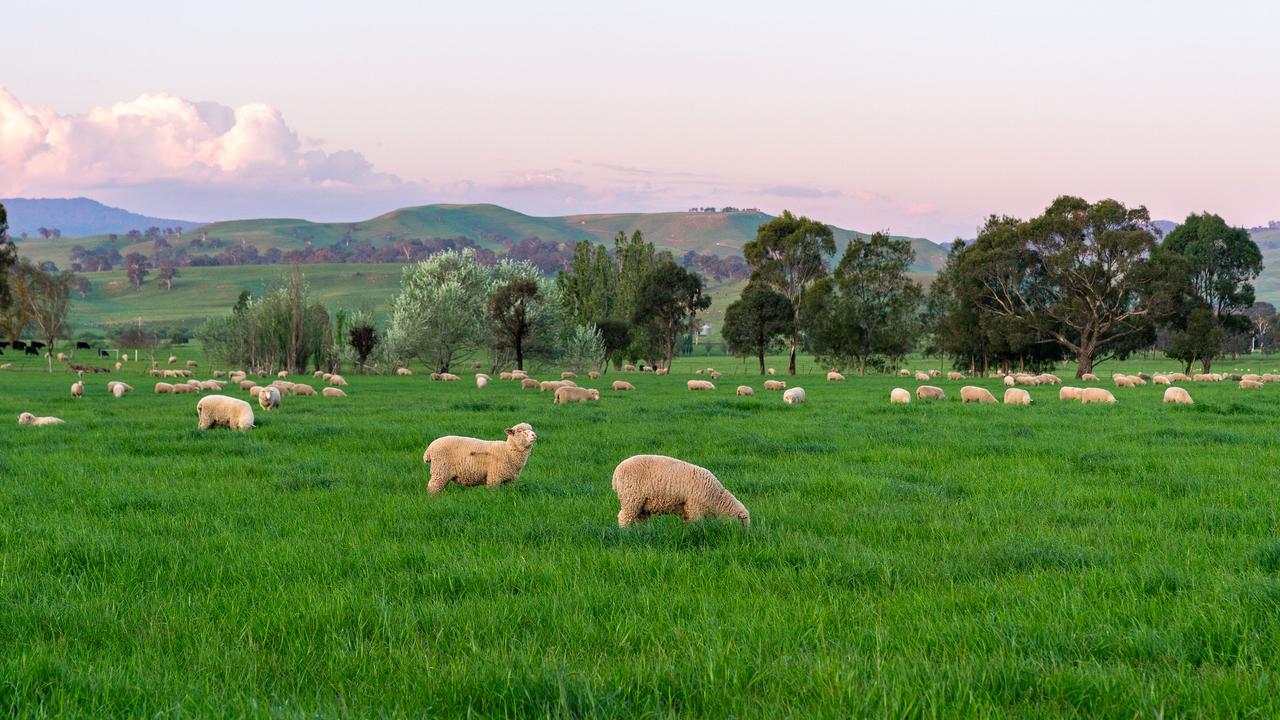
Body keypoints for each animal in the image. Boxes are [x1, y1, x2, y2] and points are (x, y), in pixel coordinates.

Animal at [611, 453, 747, 527]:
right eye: (742, 524)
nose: (744, 536)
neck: (717, 498)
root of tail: (616, 474)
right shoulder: (695, 508)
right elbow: (695, 525)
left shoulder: (688, 510)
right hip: (631, 498)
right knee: (624, 518)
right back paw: (625, 533)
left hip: (642, 504)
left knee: (641, 520)